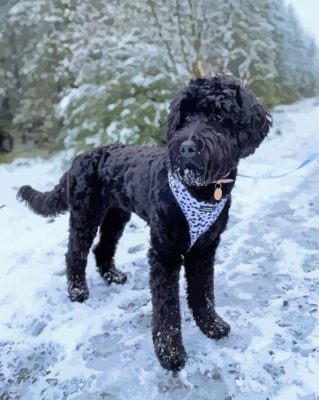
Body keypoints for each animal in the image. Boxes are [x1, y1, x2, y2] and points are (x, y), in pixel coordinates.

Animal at [18, 76, 272, 372]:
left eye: (219, 115)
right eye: (185, 116)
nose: (187, 147)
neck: (201, 190)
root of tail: (81, 158)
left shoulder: (204, 249)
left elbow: (203, 291)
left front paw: (211, 325)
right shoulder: (165, 252)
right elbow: (166, 306)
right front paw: (170, 353)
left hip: (116, 216)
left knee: (102, 248)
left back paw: (112, 276)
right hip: (86, 215)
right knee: (75, 253)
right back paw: (77, 291)